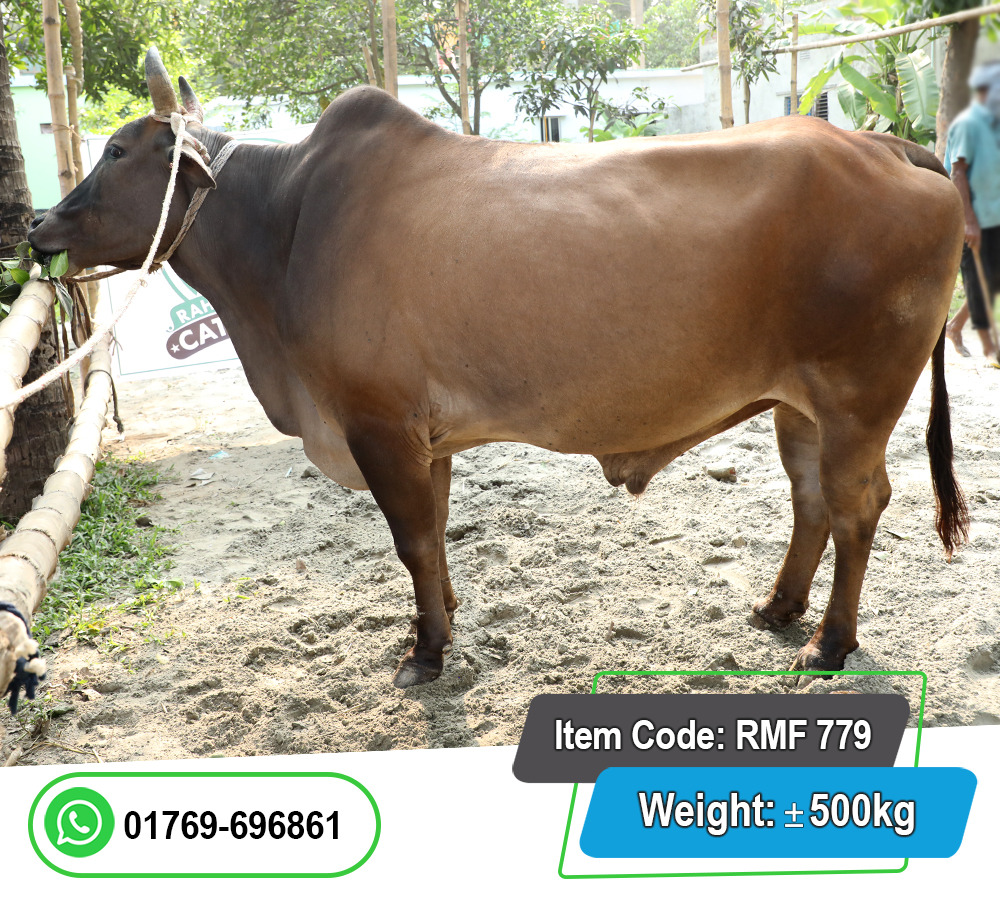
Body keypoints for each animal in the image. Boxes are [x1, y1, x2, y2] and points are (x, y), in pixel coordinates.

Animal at [29, 49, 969, 689]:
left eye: (118, 152)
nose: (39, 226)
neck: (284, 223)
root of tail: (887, 147)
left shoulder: (379, 425)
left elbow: (411, 540)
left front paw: (427, 652)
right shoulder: (425, 438)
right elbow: (436, 535)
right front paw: (441, 622)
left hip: (859, 399)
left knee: (857, 508)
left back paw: (829, 643)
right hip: (797, 405)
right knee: (811, 500)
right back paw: (779, 608)